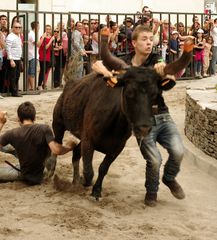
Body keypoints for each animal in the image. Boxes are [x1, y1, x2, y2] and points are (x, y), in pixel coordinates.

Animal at [48, 36, 193, 200]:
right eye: (129, 92)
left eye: (155, 94)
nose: (144, 128)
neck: (114, 124)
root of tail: (70, 83)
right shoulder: (88, 141)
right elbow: (89, 172)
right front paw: (84, 183)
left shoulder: (116, 148)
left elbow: (102, 168)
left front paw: (96, 191)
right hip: (58, 122)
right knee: (57, 143)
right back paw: (51, 171)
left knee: (75, 153)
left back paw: (74, 181)